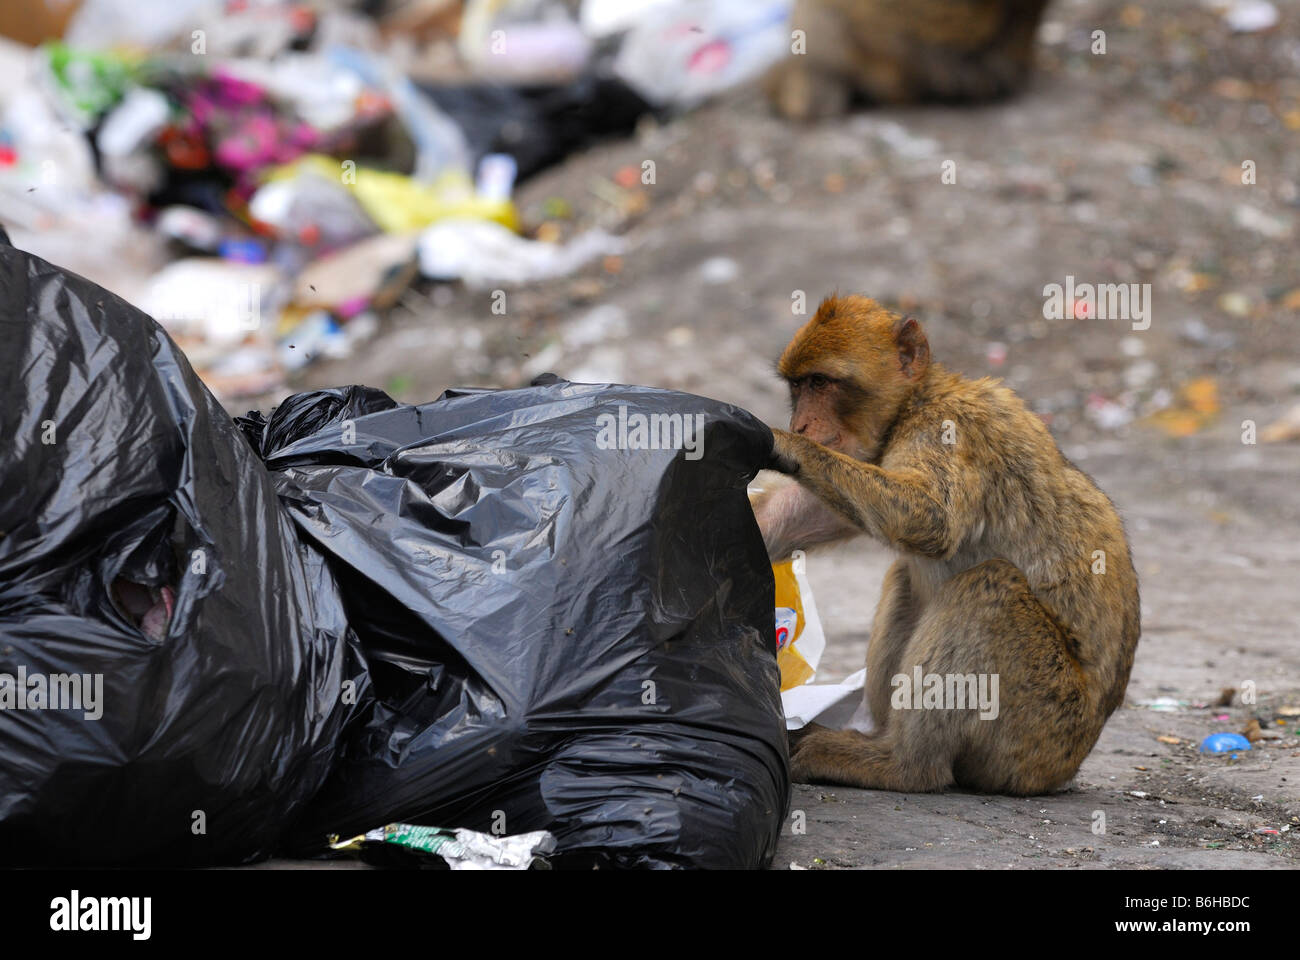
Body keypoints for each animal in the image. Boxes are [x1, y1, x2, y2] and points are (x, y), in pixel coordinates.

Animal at [754, 295, 1138, 790]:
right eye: (798, 385)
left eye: (822, 382)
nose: (800, 424)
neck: (914, 403)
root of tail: (1065, 769)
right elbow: (803, 517)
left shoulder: (947, 428)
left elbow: (931, 518)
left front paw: (782, 445)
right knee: (908, 576)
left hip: (1039, 723)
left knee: (988, 587)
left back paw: (904, 765)